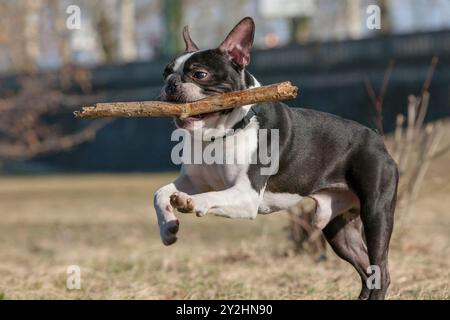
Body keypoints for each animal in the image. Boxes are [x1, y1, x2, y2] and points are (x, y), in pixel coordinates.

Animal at [154, 16, 398, 300]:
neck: (221, 133)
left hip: (375, 212)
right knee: (367, 269)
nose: (171, 83)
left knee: (381, 270)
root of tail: (377, 138)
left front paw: (190, 202)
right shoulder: (194, 180)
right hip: (339, 229)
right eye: (165, 72)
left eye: (199, 74)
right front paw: (168, 228)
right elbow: (159, 193)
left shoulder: (246, 195)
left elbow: (208, 196)